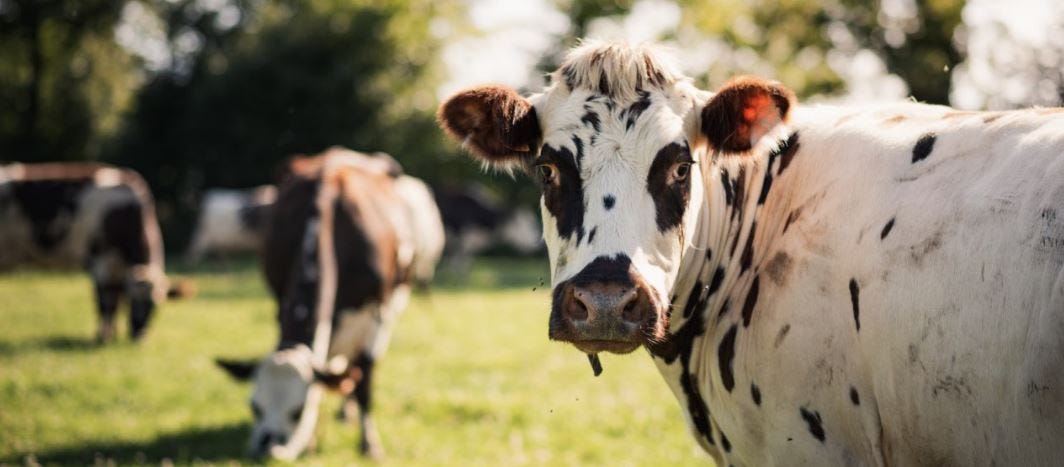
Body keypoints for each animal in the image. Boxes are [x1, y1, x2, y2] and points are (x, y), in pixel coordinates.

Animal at [0, 162, 174, 342]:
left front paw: (113, 334)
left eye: (154, 307)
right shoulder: (101, 260)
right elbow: (104, 301)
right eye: (133, 301)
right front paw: (103, 336)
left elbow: (116, 300)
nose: (139, 336)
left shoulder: (118, 267)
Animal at [218, 148, 442, 461]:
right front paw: (312, 440)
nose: (268, 451)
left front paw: (369, 444)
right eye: (255, 407)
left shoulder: (375, 315)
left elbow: (363, 382)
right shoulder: (280, 300)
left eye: (298, 411)